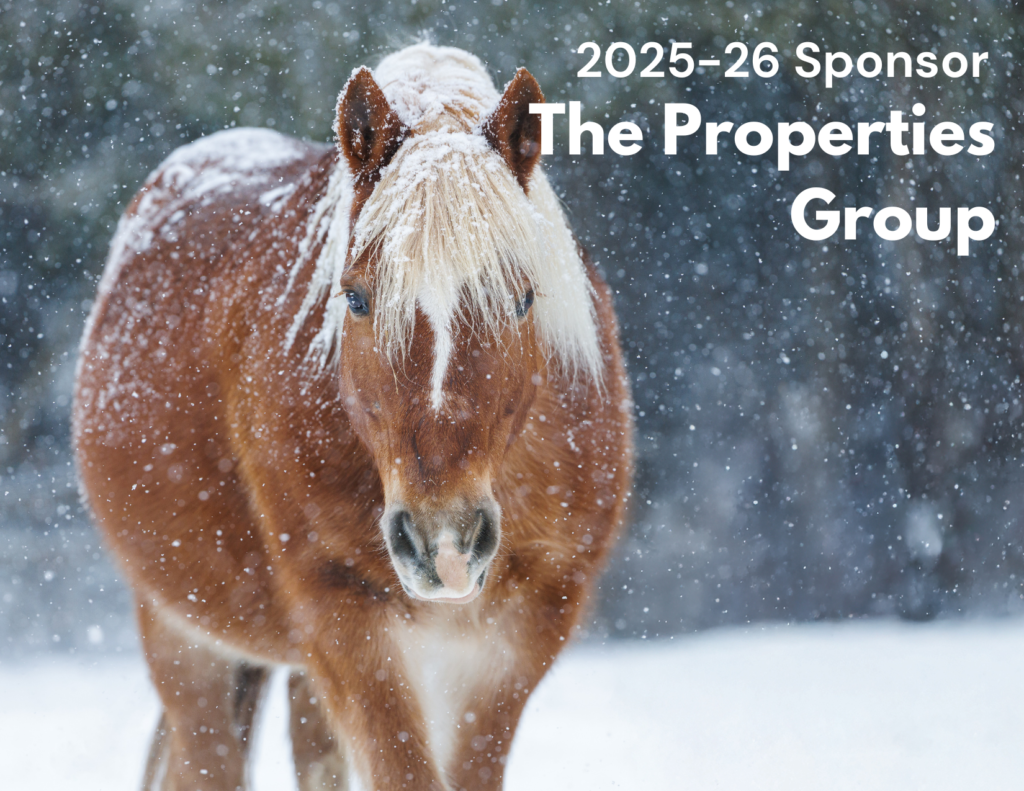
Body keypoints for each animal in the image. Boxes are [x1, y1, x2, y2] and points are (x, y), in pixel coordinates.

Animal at [73, 43, 633, 791]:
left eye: (522, 298)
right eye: (358, 299)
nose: (444, 542)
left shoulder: (518, 642)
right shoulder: (345, 619)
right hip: (184, 640)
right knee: (208, 758)